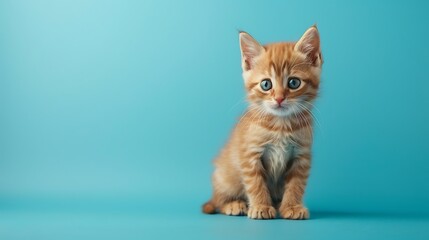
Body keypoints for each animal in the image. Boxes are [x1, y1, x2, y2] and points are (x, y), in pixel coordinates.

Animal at [201, 25, 320, 219]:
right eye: (266, 85)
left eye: (294, 83)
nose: (279, 98)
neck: (281, 125)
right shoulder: (250, 155)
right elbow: (256, 183)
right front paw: (261, 206)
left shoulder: (301, 156)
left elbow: (296, 184)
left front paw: (292, 206)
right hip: (226, 177)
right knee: (218, 200)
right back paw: (233, 204)